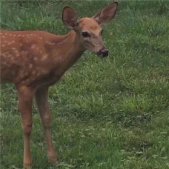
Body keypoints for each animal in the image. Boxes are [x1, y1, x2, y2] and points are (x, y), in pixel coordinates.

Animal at [0, 1, 118, 169]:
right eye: (85, 33)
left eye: (102, 31)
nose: (104, 51)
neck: (52, 54)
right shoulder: (24, 82)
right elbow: (27, 126)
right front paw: (27, 163)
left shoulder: (42, 86)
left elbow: (47, 119)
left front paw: (54, 159)